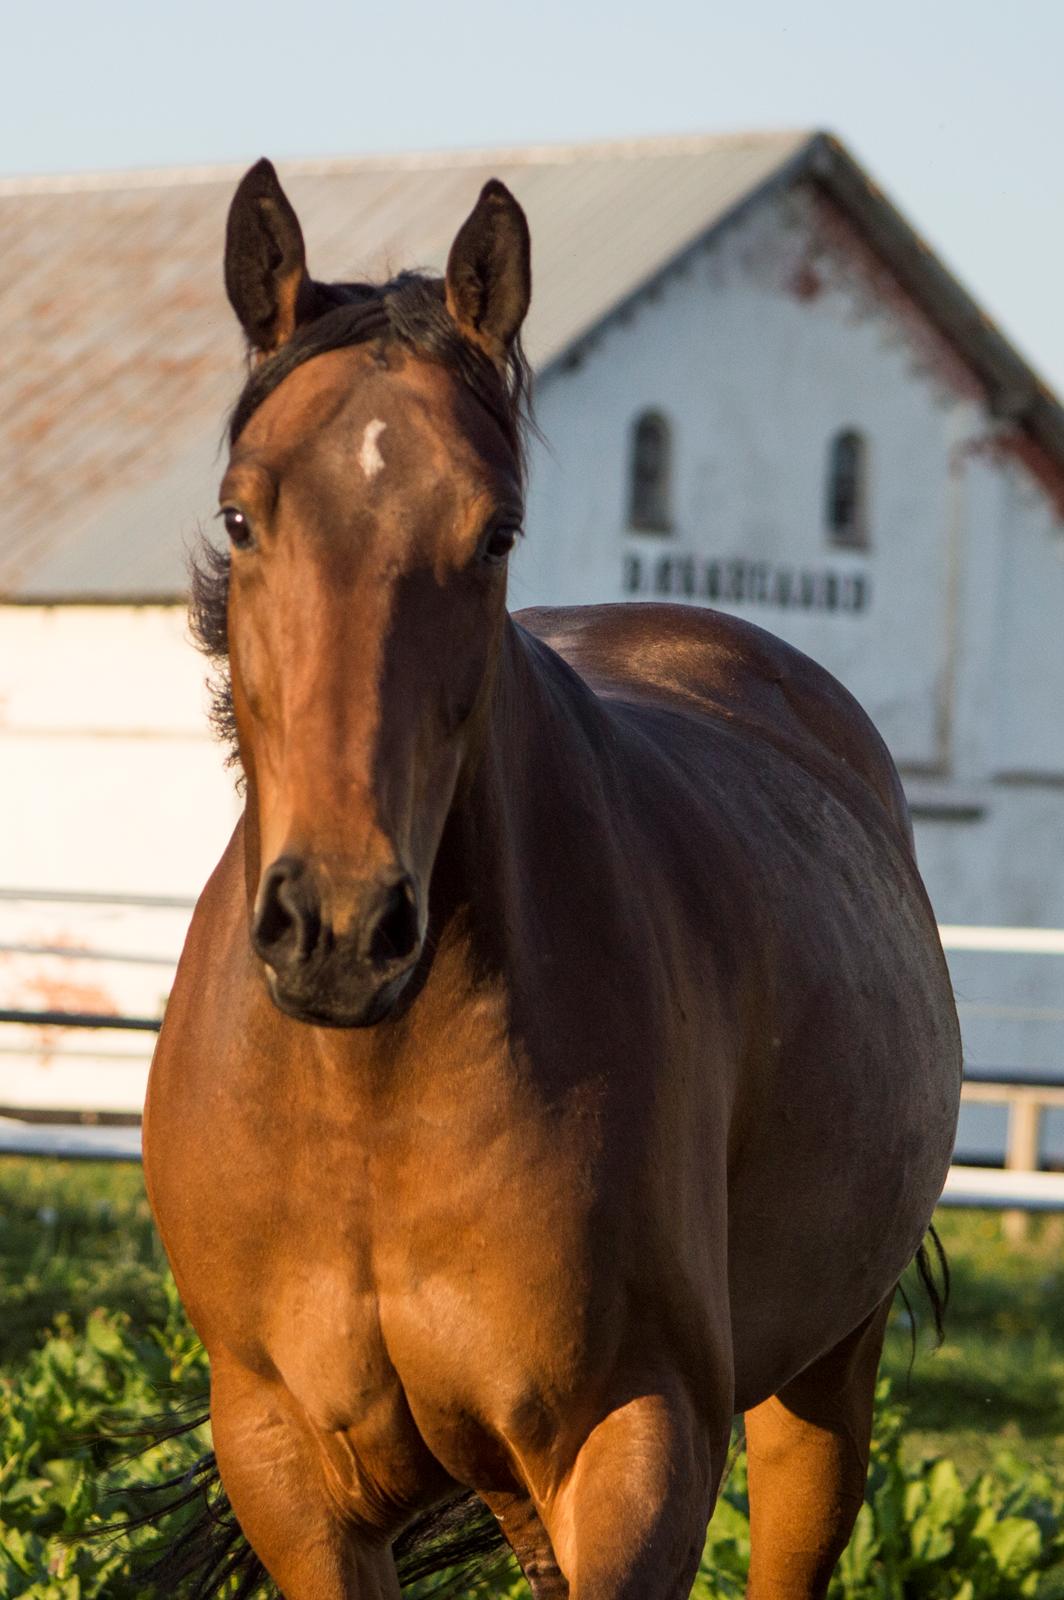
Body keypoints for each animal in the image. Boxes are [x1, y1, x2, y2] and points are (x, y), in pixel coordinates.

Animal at [136, 152, 960, 1600]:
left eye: (496, 530)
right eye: (242, 513)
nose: (340, 925)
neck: (366, 1103)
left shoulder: (637, 1441)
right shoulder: (288, 1470)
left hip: (821, 1382)